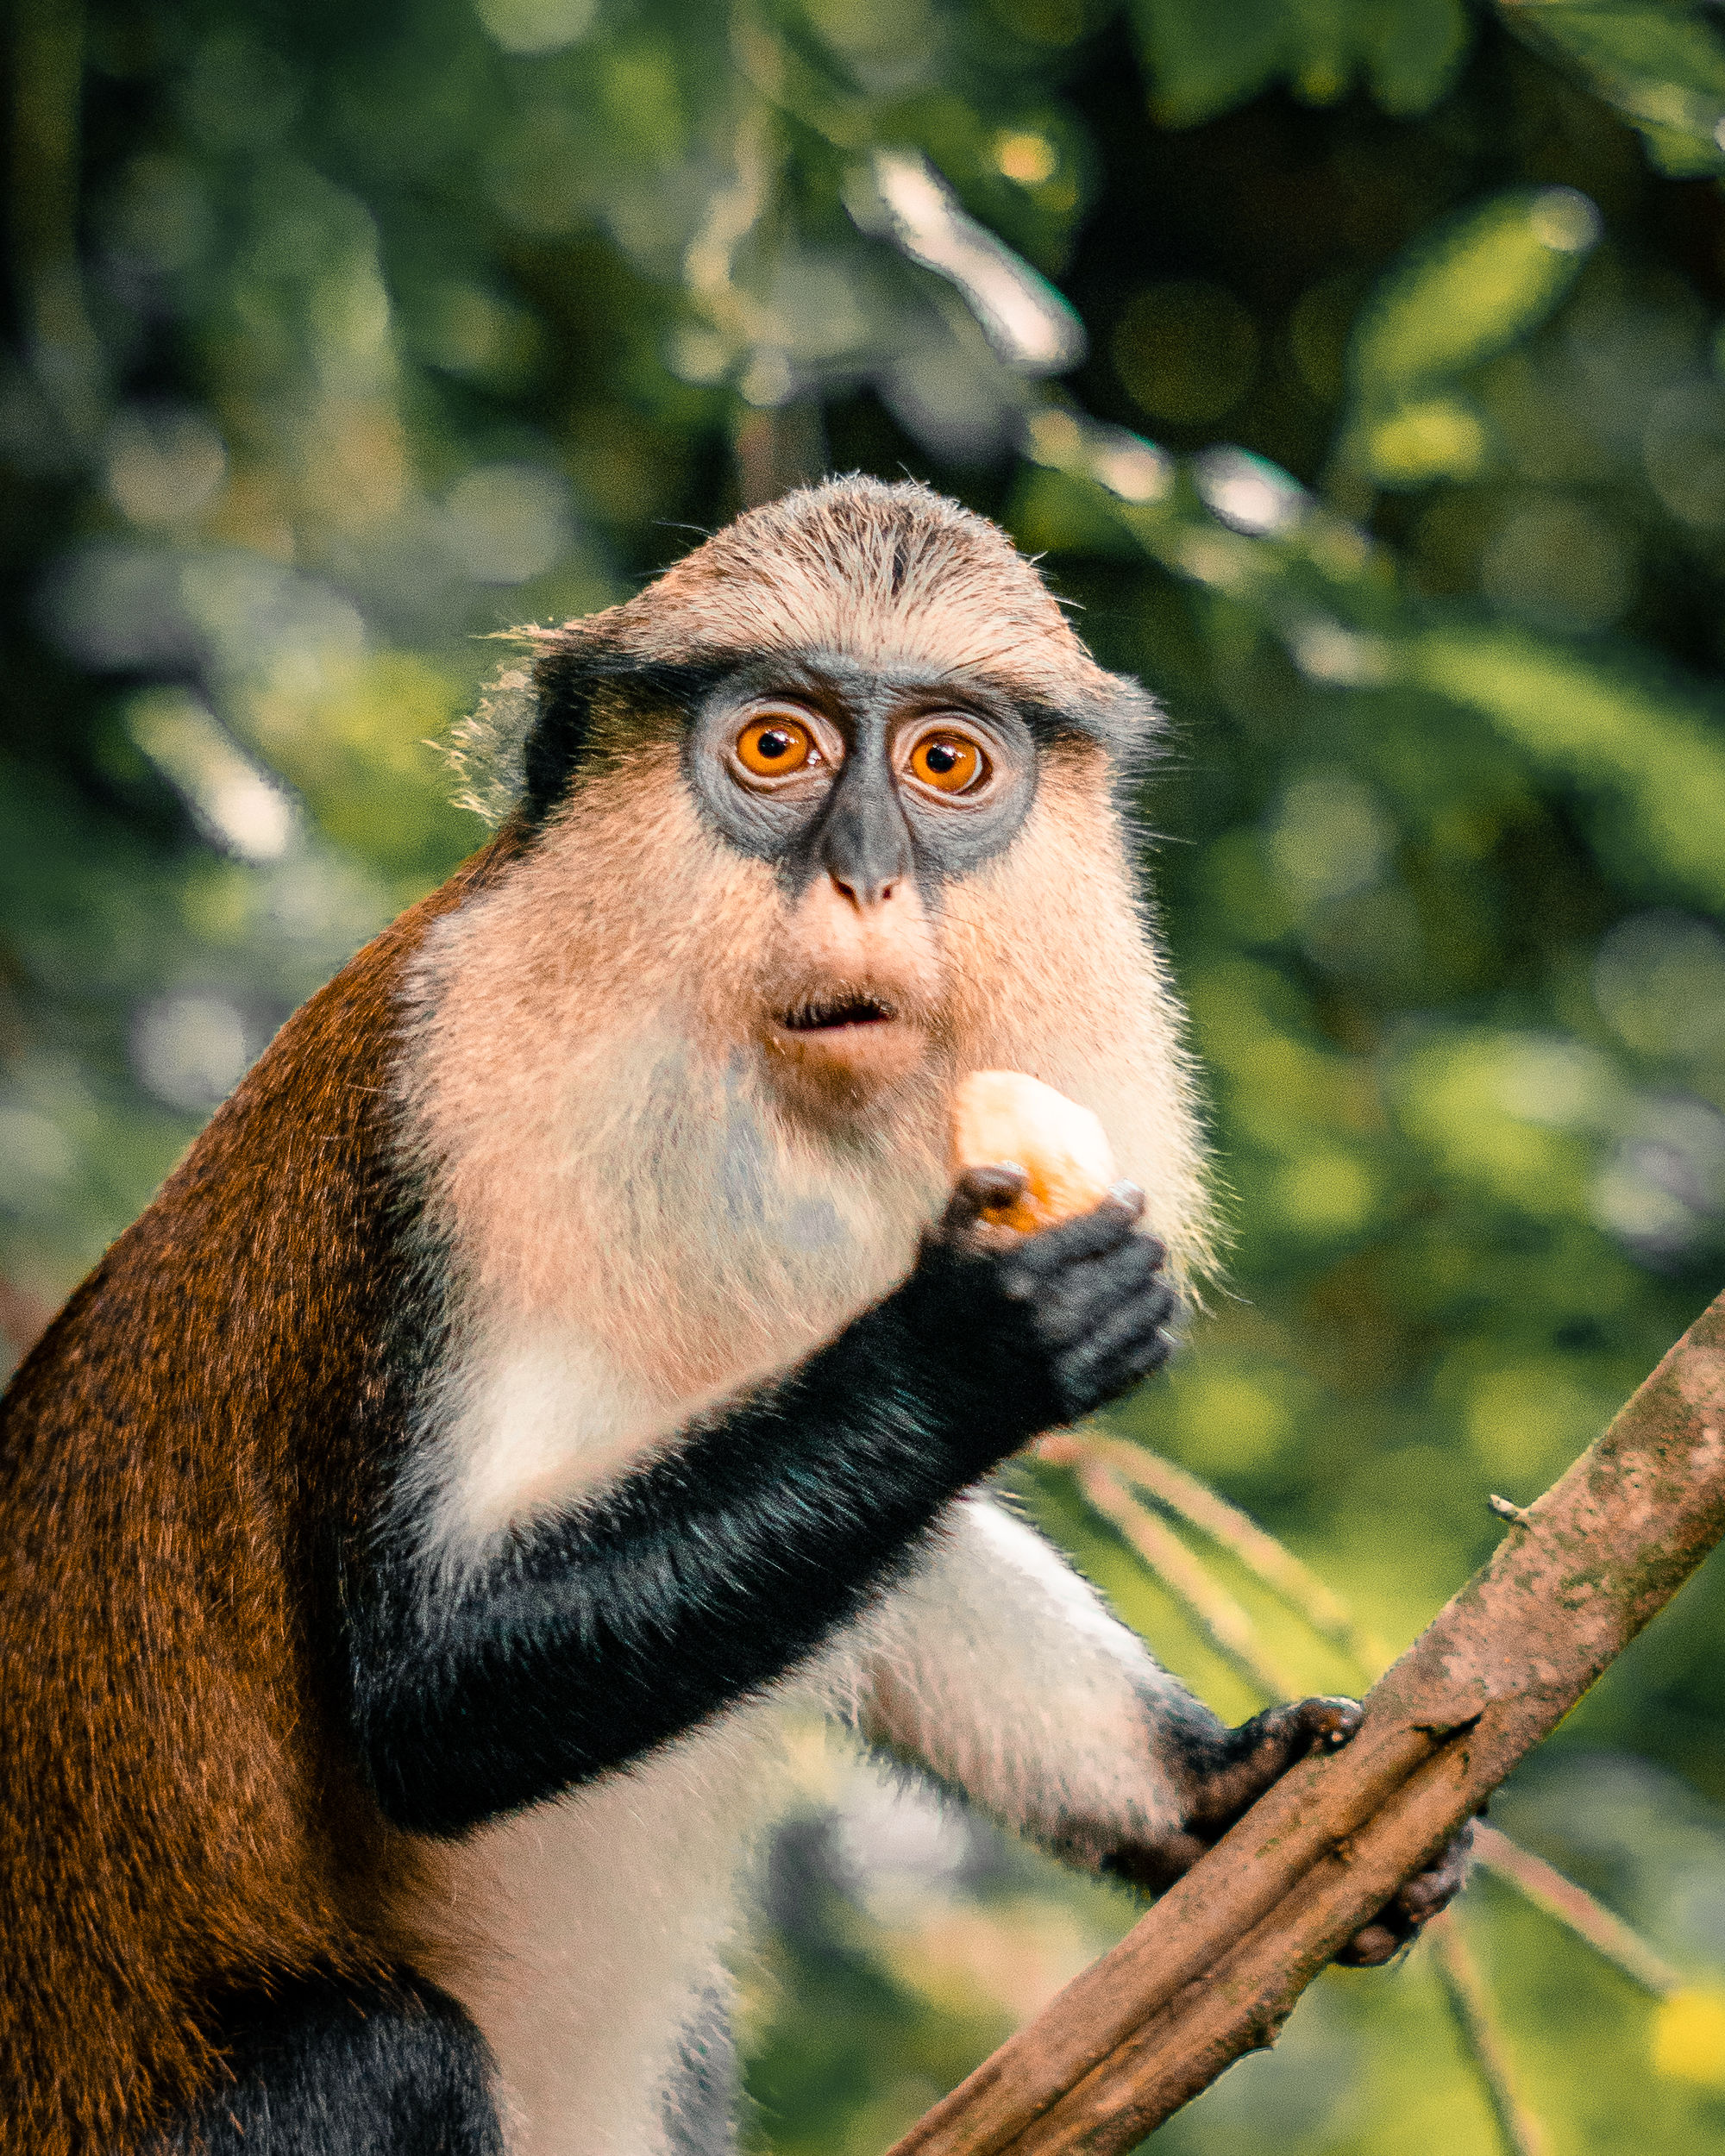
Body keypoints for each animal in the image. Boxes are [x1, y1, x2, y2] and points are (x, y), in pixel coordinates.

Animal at [0, 476, 1468, 2156]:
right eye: (778, 746)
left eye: (946, 761)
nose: (867, 876)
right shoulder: (452, 1112)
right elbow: (422, 1687)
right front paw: (975, 1353)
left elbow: (905, 1560)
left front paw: (1219, 1786)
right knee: (379, 2057)